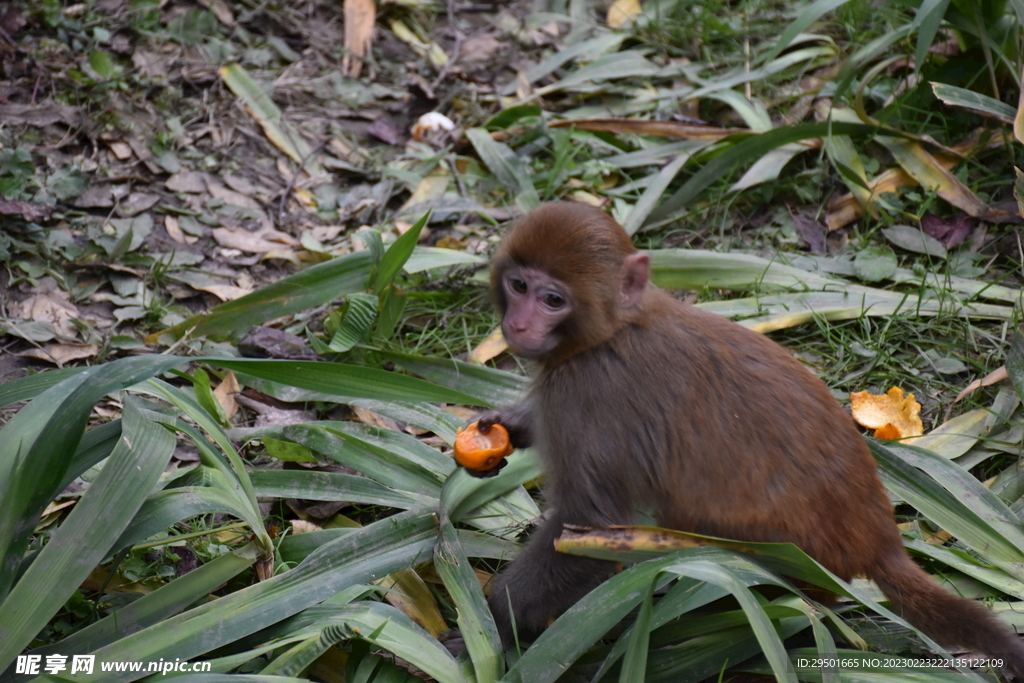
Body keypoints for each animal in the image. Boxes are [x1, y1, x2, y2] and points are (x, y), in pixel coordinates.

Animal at [477, 201, 1024, 671]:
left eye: (552, 299)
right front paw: (509, 426)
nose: (518, 323)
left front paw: (494, 623)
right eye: (518, 284)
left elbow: (586, 527)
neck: (611, 330)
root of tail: (881, 538)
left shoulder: (586, 397)